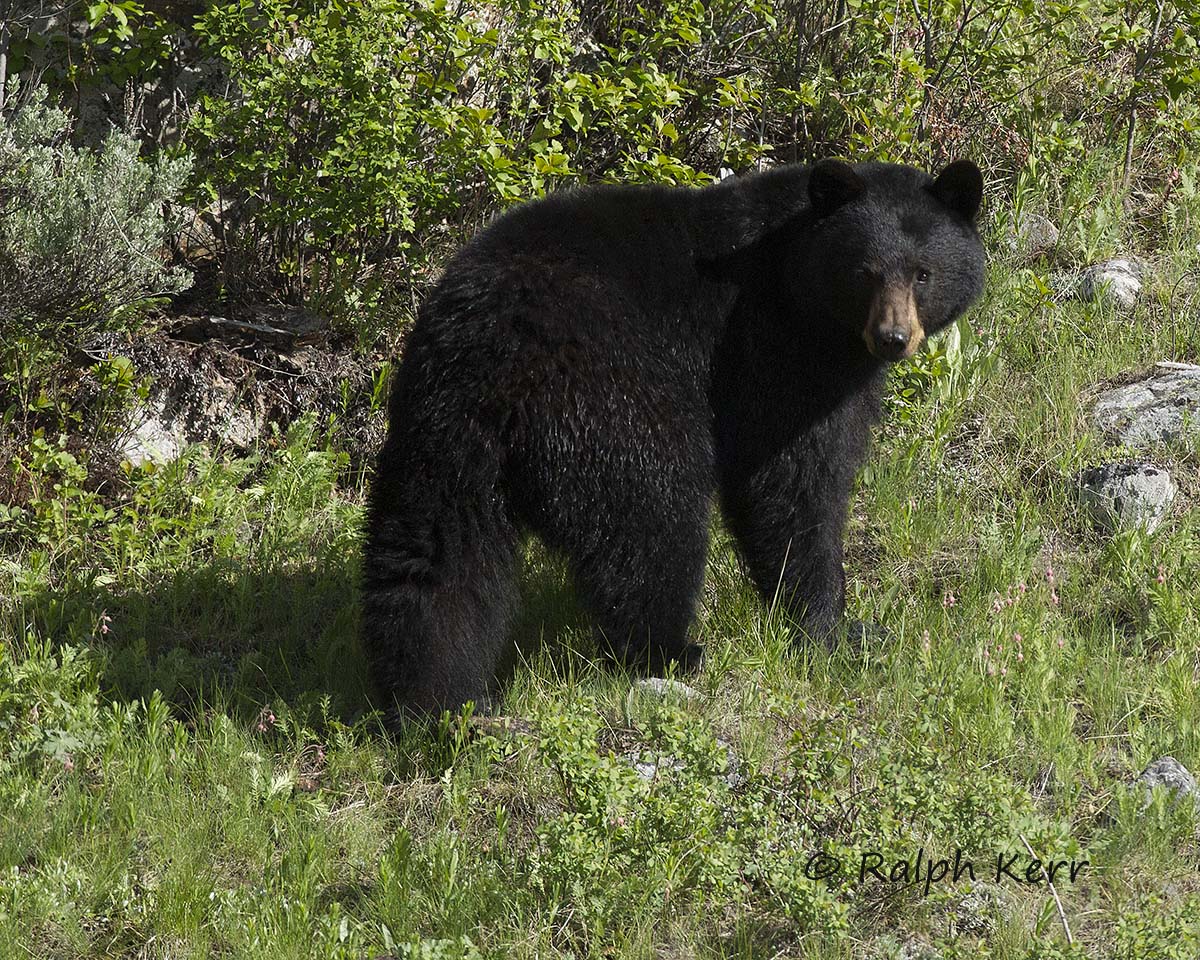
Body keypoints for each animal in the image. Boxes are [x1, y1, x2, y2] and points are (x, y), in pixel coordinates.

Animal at [362, 158, 985, 720]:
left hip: (440, 427)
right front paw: (833, 627)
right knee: (653, 514)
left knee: (433, 557)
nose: (892, 337)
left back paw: (430, 703)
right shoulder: (775, 350)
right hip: (608, 398)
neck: (793, 272)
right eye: (865, 272)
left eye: (922, 273)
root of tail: (497, 343)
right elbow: (791, 481)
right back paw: (669, 652)